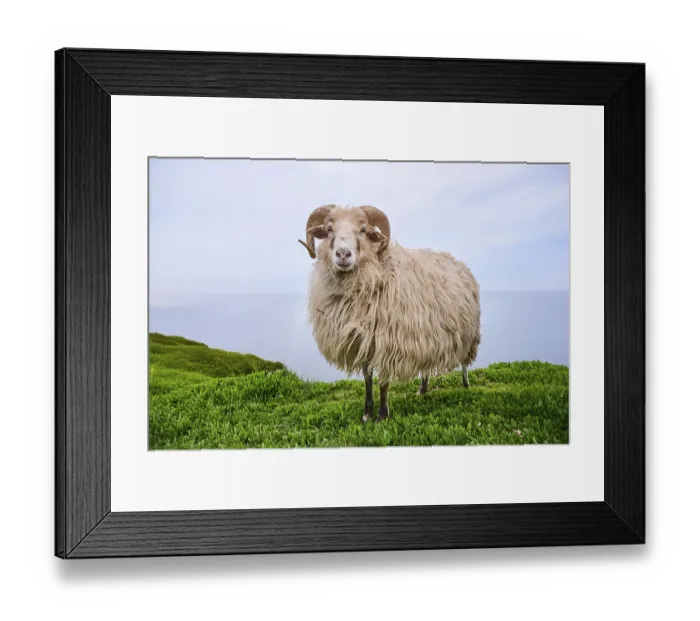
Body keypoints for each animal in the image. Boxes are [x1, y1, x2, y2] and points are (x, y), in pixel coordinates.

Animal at [298, 204, 481, 424]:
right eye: (329, 229)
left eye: (363, 230)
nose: (343, 254)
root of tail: (458, 262)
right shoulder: (363, 341)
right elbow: (368, 378)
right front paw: (367, 413)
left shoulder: (388, 341)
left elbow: (383, 382)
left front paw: (382, 415)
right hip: (429, 333)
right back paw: (423, 390)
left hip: (468, 332)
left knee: (464, 362)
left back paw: (465, 385)